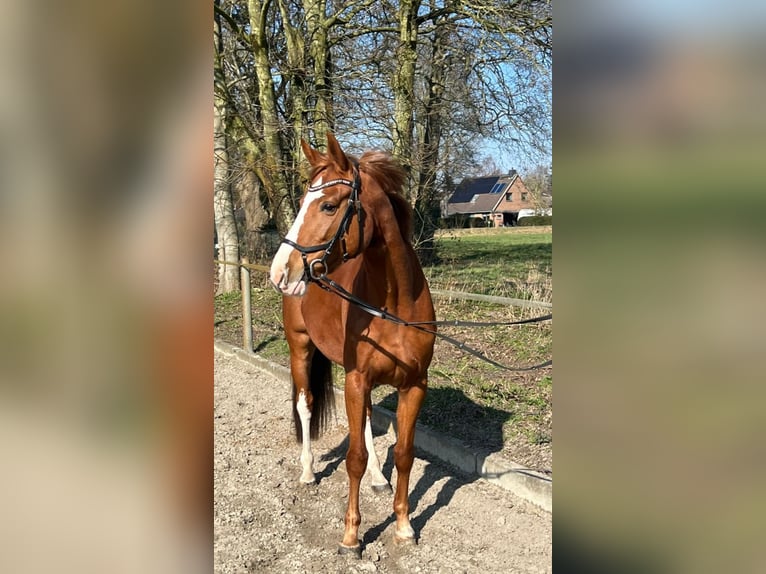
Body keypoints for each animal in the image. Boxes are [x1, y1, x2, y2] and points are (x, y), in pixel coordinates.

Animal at [269, 133, 436, 555]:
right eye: (301, 202)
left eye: (329, 205)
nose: (280, 272)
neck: (395, 306)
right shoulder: (357, 378)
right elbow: (354, 457)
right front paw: (351, 535)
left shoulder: (414, 385)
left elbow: (404, 454)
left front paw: (404, 525)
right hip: (300, 349)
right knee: (306, 404)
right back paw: (308, 470)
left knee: (365, 421)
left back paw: (379, 478)